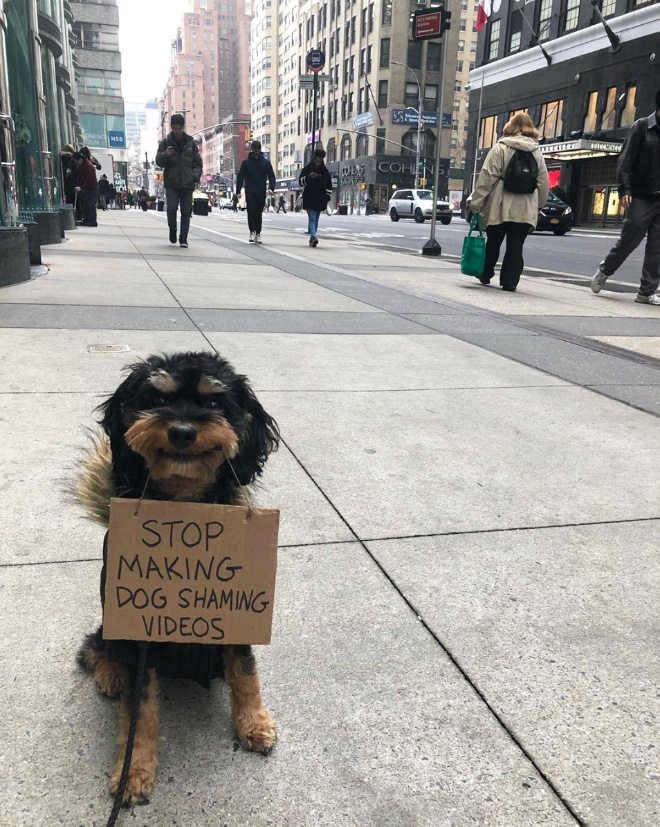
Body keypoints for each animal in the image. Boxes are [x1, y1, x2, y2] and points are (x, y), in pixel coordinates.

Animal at [76, 352, 280, 804]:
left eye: (216, 403)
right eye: (156, 399)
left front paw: (255, 724)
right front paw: (134, 771)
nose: (183, 431)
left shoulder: (237, 611)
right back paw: (110, 673)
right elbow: (140, 710)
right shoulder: (138, 630)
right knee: (95, 646)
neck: (185, 503)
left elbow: (246, 673)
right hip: (111, 620)